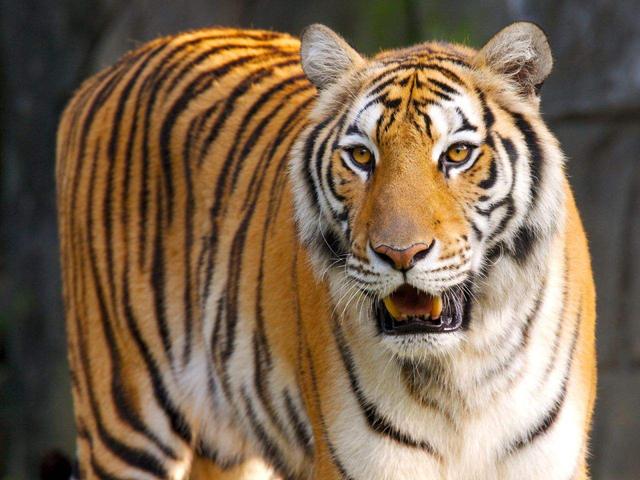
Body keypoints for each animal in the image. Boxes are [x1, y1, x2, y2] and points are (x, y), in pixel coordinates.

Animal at [56, 20, 596, 480]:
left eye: (458, 154)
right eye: (361, 156)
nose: (400, 254)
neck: (464, 373)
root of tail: (107, 73)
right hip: (122, 418)